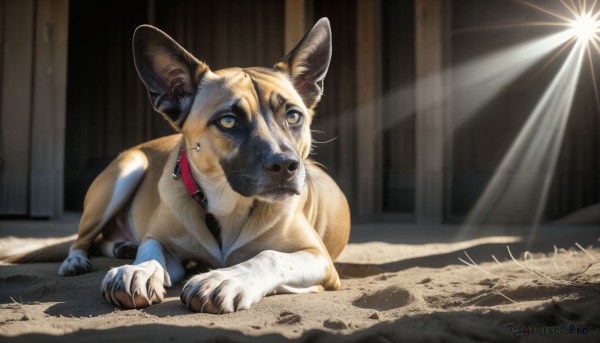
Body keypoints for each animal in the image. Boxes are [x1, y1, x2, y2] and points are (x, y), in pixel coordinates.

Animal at [55, 18, 350, 314]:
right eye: (228, 120)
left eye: (293, 116)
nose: (286, 165)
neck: (227, 205)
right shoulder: (159, 238)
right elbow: (151, 249)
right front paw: (139, 269)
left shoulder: (319, 259)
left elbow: (271, 256)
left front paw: (226, 279)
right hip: (125, 173)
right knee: (82, 240)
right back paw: (78, 260)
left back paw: (121, 247)